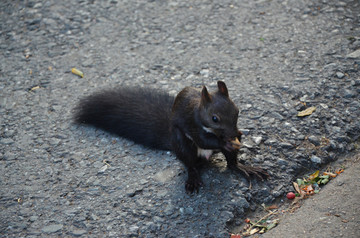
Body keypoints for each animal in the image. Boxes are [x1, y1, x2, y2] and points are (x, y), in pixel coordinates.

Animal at [75, 82, 268, 193]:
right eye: (215, 118)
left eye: (237, 111)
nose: (232, 134)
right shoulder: (192, 123)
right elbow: (203, 140)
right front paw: (224, 142)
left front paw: (240, 135)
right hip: (181, 144)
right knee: (190, 165)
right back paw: (193, 179)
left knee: (232, 164)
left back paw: (245, 168)